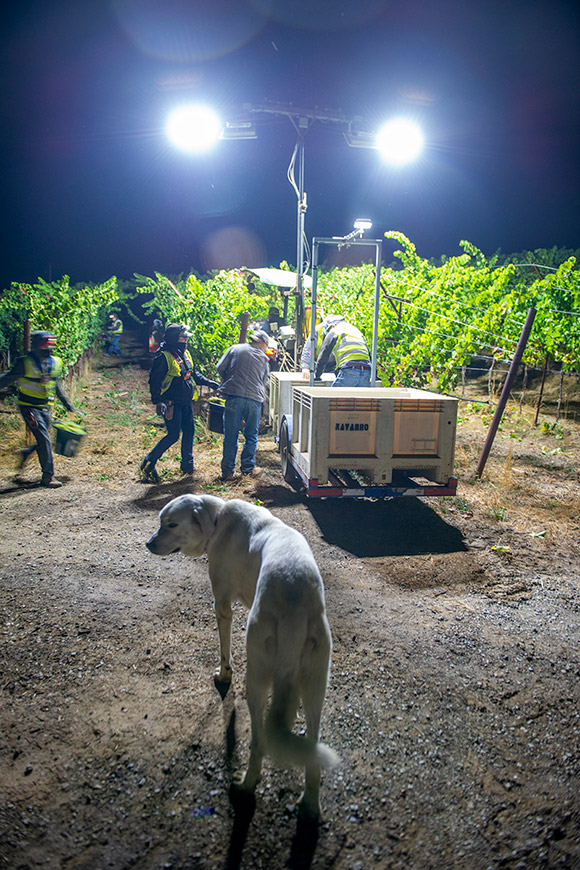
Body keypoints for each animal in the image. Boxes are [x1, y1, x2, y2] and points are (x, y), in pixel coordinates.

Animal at [145, 494, 338, 820]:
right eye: (161, 522)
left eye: (171, 524)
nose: (148, 544)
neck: (218, 519)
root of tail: (295, 603)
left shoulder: (222, 605)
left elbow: (225, 652)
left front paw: (223, 675)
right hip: (316, 691)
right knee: (312, 751)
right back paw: (310, 806)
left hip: (256, 681)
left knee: (258, 744)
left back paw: (245, 786)